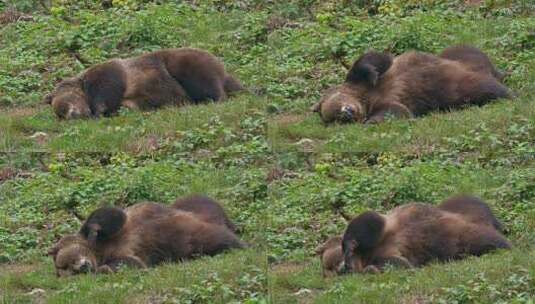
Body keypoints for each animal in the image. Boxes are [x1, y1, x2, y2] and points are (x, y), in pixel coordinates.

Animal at [45, 47, 244, 119]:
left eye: (66, 103)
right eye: (61, 112)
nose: (74, 114)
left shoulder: (111, 75)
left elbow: (107, 90)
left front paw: (98, 111)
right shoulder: (135, 100)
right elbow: (130, 104)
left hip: (182, 62)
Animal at [48, 196, 245, 276]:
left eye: (67, 261)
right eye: (67, 269)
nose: (82, 267)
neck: (99, 253)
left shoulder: (119, 228)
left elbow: (111, 215)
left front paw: (93, 228)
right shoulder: (133, 255)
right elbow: (131, 263)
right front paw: (104, 270)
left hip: (192, 210)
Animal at [312, 44, 512, 124]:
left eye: (336, 104)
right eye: (335, 117)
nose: (347, 113)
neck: (364, 99)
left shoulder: (363, 82)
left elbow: (373, 60)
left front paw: (371, 72)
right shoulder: (387, 102)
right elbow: (397, 111)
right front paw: (371, 121)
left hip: (457, 59)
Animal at [318, 195, 510, 276]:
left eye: (333, 263)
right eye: (329, 267)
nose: (343, 267)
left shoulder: (383, 226)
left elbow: (367, 221)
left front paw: (350, 246)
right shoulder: (393, 254)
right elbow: (399, 264)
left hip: (459, 209)